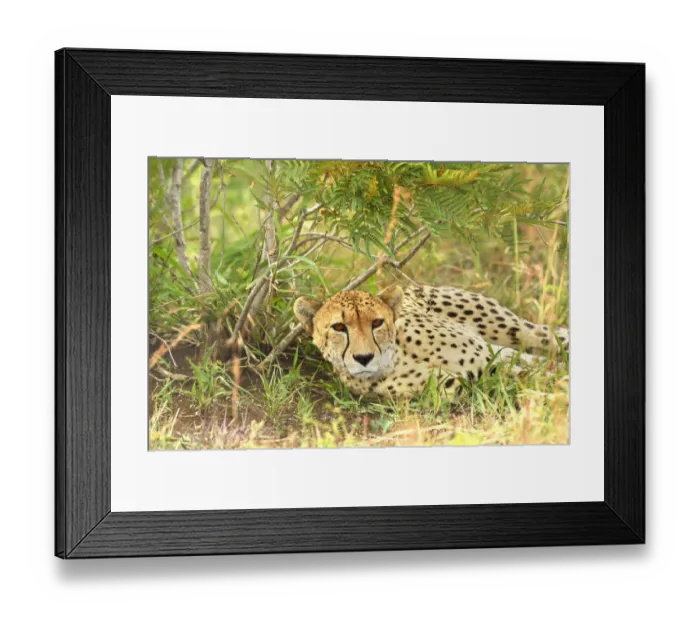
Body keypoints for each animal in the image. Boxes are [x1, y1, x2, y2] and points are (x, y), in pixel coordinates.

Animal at [294, 284, 569, 399]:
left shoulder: (487, 362)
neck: (398, 359)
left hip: (513, 329)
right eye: (339, 327)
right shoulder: (473, 382)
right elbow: (520, 388)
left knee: (552, 338)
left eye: (377, 323)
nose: (364, 358)